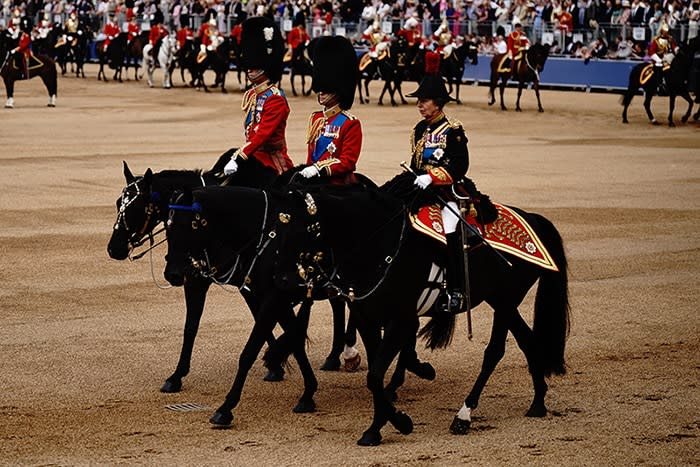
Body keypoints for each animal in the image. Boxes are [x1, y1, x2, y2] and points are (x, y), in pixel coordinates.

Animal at [268, 172, 568, 446]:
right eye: (276, 230)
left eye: (299, 230)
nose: (281, 280)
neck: (379, 243)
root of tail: (532, 218)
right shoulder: (368, 317)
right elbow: (375, 374)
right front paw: (383, 423)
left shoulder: (400, 319)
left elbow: (376, 375)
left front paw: (395, 422)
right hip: (501, 300)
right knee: (527, 340)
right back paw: (538, 402)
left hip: (505, 300)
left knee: (494, 352)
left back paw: (464, 414)